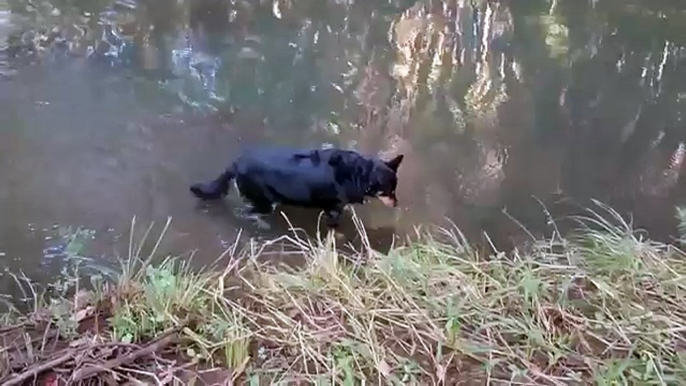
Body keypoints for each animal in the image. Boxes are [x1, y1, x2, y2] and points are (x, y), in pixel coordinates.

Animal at [189, 146, 404, 228]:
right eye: (388, 192)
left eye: (395, 190)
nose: (397, 204)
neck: (357, 173)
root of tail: (237, 162)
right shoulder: (334, 209)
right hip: (264, 201)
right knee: (247, 212)